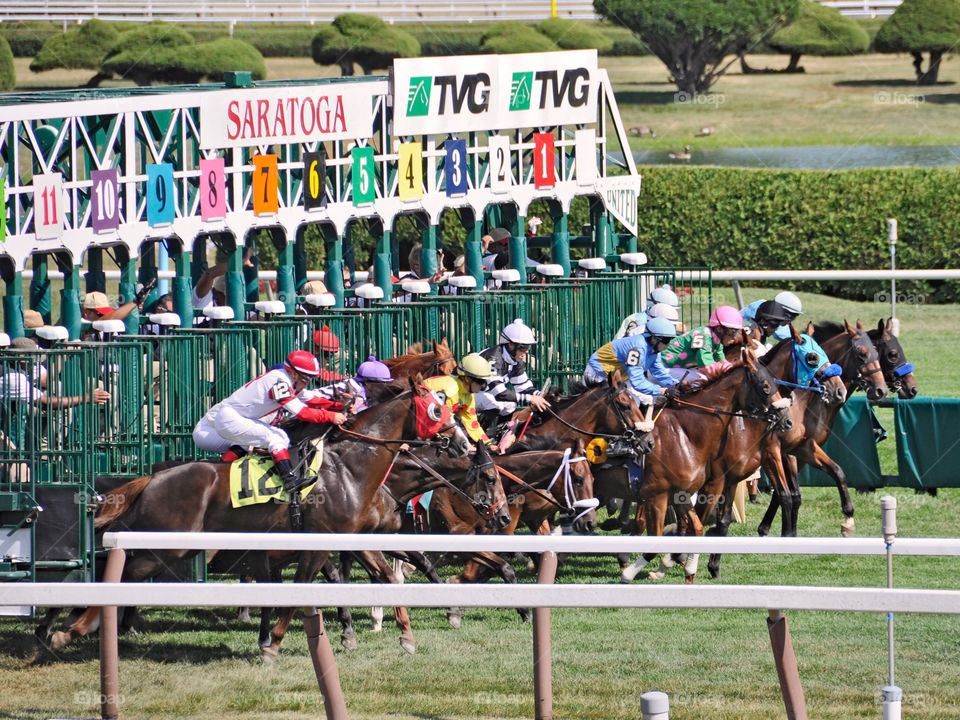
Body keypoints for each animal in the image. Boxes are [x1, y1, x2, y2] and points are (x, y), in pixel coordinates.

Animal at [51, 382, 464, 660]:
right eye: (436, 410)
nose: (462, 442)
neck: (348, 467)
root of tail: (153, 478)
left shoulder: (351, 539)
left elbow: (385, 578)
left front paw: (406, 636)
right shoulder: (317, 544)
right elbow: (301, 590)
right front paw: (273, 645)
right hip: (168, 546)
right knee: (120, 573)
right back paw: (71, 630)